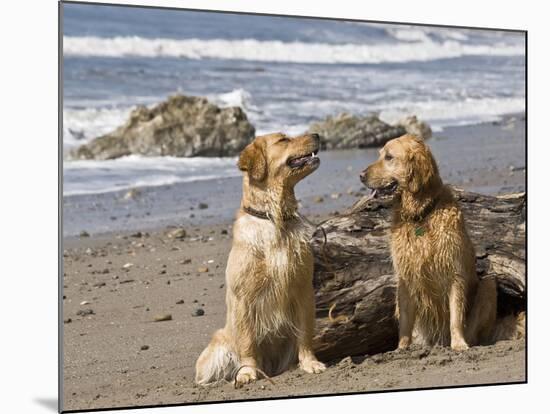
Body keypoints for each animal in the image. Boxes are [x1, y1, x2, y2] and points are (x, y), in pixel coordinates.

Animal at [197, 132, 328, 384]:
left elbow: (305, 333)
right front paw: (247, 372)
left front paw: (310, 363)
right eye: (283, 139)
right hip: (216, 350)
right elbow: (247, 342)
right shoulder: (243, 297)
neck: (274, 218)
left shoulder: (303, 288)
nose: (317, 134)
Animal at [362, 135, 500, 350]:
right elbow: (405, 320)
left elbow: (455, 315)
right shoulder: (405, 275)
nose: (360, 175)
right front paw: (402, 347)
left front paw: (458, 344)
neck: (421, 214)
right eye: (380, 155)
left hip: (488, 285)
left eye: (389, 157)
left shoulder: (454, 271)